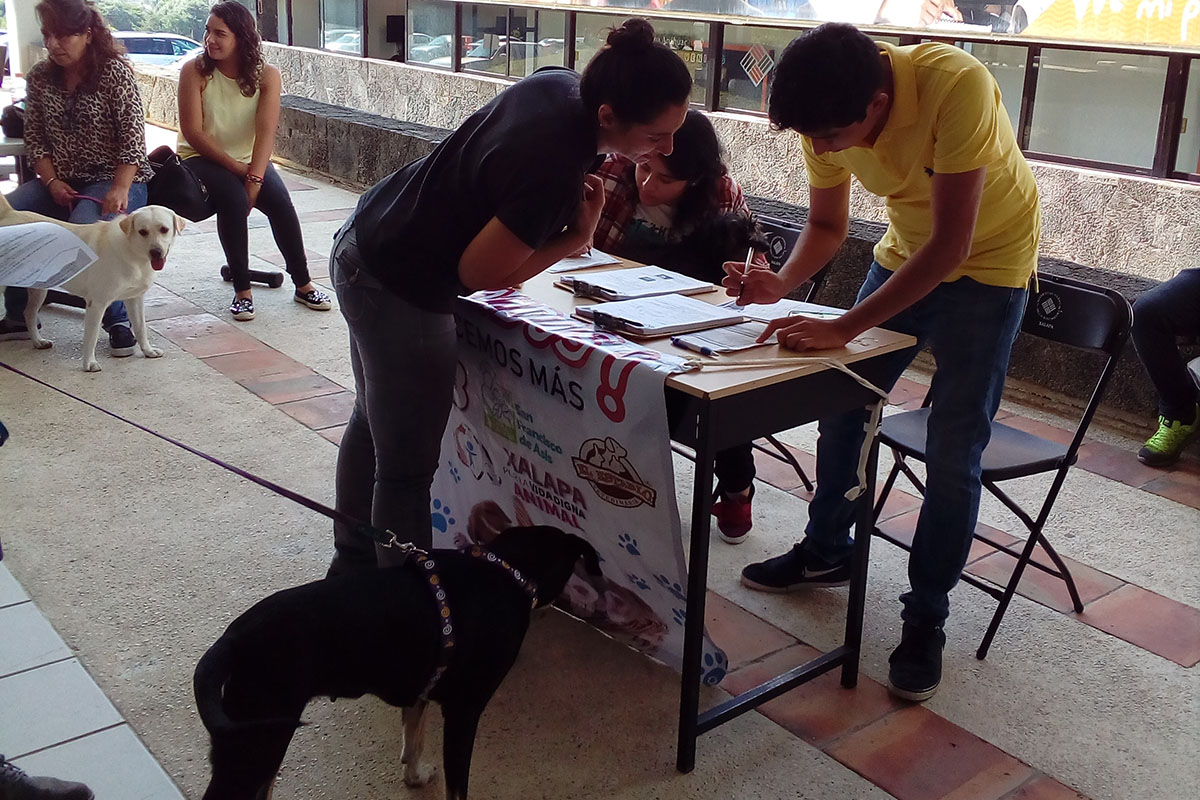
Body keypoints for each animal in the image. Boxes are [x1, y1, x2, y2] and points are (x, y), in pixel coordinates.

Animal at [1, 194, 183, 371]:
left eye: (164, 229)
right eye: (142, 232)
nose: (156, 252)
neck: (133, 253)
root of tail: (9, 213)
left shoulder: (134, 299)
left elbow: (140, 328)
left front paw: (148, 351)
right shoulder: (97, 304)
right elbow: (91, 337)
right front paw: (89, 364)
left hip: (39, 289)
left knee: (28, 314)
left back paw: (38, 341)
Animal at [194, 525, 600, 800]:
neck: (505, 570)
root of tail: (233, 637)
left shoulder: (420, 691)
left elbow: (413, 743)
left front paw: (415, 778)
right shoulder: (464, 714)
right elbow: (457, 787)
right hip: (257, 740)